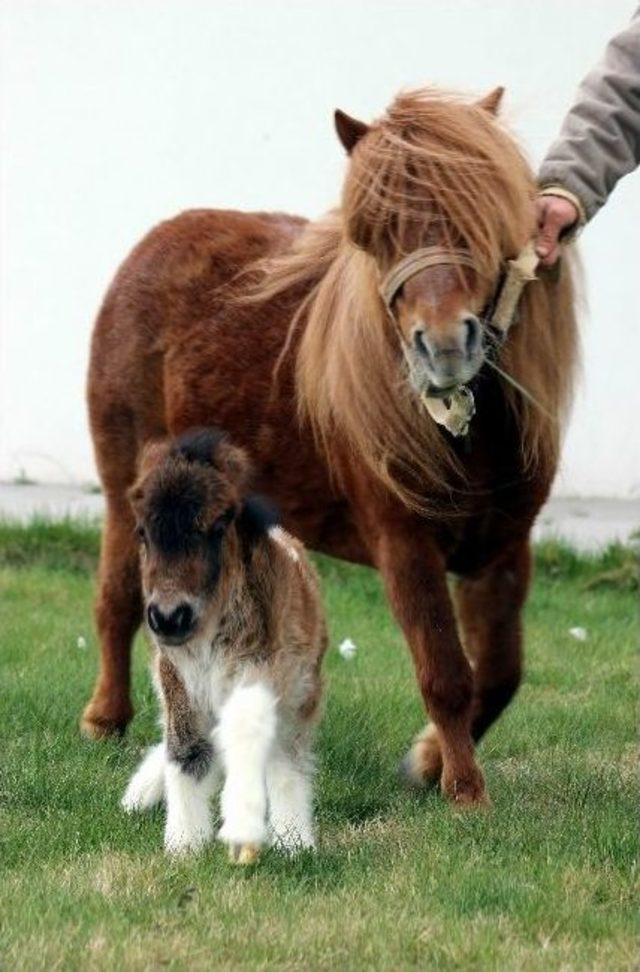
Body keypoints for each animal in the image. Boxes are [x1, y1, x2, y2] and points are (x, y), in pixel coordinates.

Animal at [82, 89, 576, 804]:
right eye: (378, 233)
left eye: (476, 219)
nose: (444, 346)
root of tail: (154, 243)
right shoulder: (404, 545)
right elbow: (445, 673)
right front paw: (463, 792)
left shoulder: (504, 549)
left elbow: (500, 673)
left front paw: (427, 763)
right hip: (130, 492)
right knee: (117, 598)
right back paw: (105, 719)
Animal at [122, 428, 328, 860]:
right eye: (142, 531)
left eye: (218, 526)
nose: (169, 616)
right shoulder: (174, 672)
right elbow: (185, 747)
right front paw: (184, 845)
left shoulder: (262, 665)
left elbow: (247, 731)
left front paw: (246, 828)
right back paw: (141, 793)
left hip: (303, 688)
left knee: (287, 753)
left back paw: (293, 840)